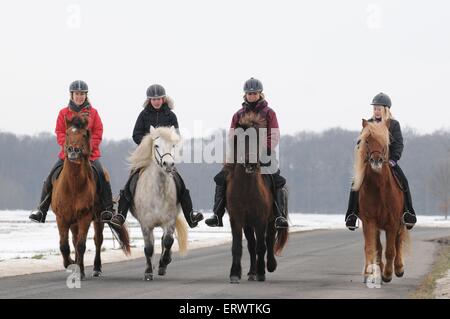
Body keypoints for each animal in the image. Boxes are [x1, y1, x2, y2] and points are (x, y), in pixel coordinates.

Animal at [52, 115, 131, 280]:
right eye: (67, 133)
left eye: (84, 134)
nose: (73, 150)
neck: (73, 185)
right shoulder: (61, 217)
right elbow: (64, 246)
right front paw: (70, 264)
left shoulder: (85, 217)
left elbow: (81, 245)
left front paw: (80, 271)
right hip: (73, 222)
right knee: (74, 240)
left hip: (98, 218)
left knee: (97, 240)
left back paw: (96, 268)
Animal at [128, 126, 188, 282]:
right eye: (156, 145)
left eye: (173, 145)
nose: (168, 164)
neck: (158, 191)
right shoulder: (146, 224)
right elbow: (149, 248)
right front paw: (148, 272)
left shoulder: (169, 221)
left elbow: (168, 241)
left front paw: (164, 263)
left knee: (164, 240)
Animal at [225, 112, 288, 284]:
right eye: (240, 140)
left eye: (257, 140)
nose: (250, 162)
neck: (247, 189)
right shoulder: (237, 220)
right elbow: (237, 247)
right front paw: (235, 273)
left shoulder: (260, 220)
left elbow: (262, 246)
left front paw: (262, 272)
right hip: (248, 224)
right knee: (252, 246)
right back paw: (251, 272)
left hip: (271, 220)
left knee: (268, 241)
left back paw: (269, 266)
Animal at [354, 119, 410, 284]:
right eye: (366, 140)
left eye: (385, 141)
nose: (376, 161)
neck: (379, 188)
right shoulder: (369, 221)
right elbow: (371, 247)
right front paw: (369, 273)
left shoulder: (393, 223)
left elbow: (390, 250)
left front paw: (387, 274)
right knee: (378, 247)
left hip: (400, 223)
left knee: (398, 242)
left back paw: (398, 268)